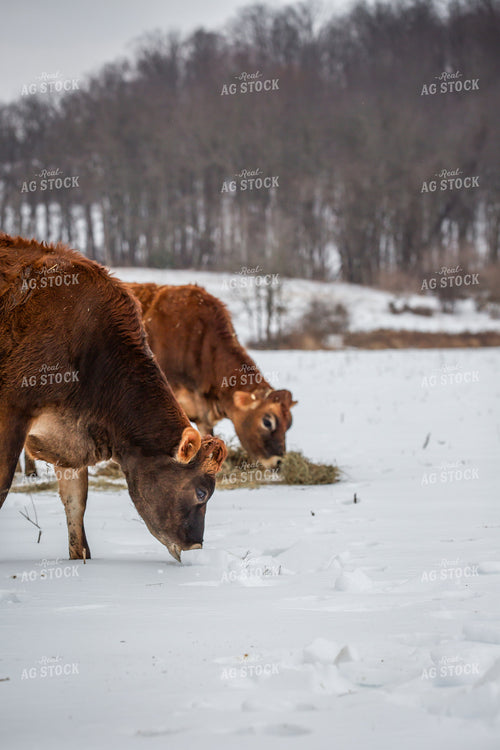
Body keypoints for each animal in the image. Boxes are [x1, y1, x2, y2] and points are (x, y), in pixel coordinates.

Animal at [0, 234, 227, 562]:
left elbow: (76, 502)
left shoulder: (68, 433)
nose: (196, 542)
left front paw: (81, 556)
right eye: (201, 492)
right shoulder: (12, 413)